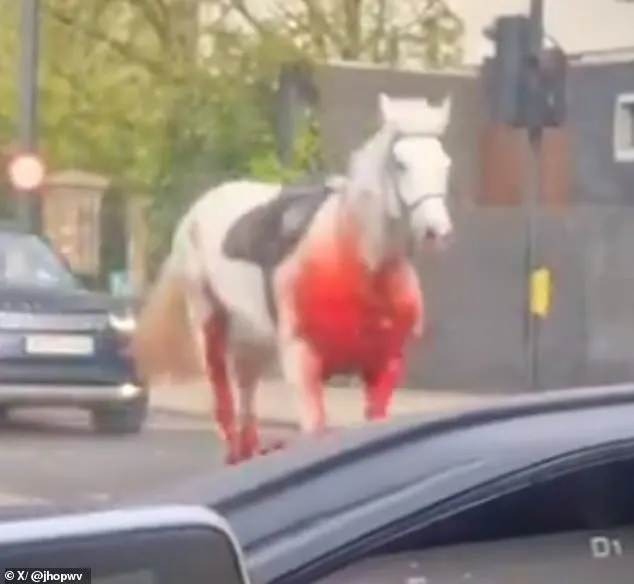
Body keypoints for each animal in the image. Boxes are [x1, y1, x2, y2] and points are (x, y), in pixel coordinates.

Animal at [132, 93, 450, 464]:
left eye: (445, 163)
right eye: (400, 163)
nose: (437, 231)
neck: (358, 263)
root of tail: (197, 210)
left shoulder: (384, 365)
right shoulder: (302, 361)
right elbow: (315, 430)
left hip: (252, 339)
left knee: (247, 397)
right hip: (208, 323)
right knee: (223, 399)